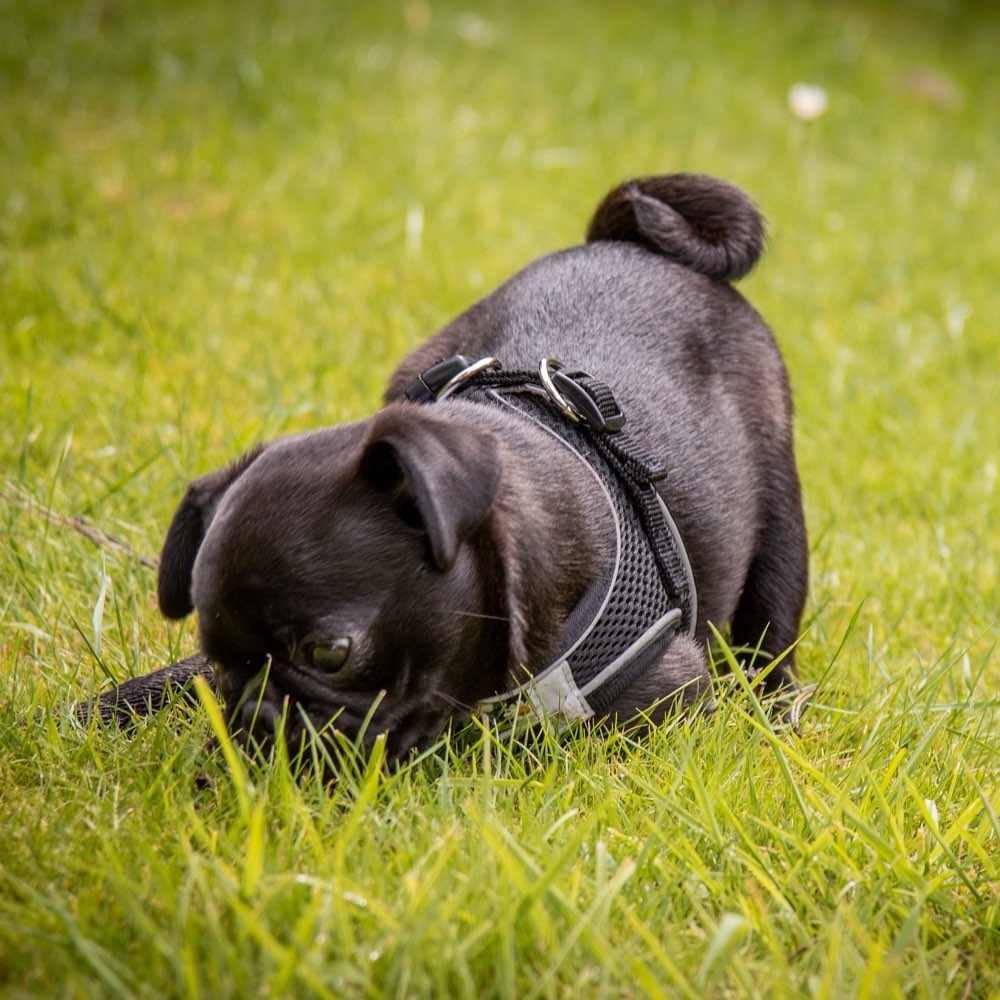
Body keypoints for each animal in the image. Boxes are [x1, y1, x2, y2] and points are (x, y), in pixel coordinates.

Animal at [158, 176, 812, 760]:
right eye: (219, 664)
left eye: (330, 654)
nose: (260, 715)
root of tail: (623, 240)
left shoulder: (666, 688)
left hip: (780, 525)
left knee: (771, 632)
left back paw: (780, 710)